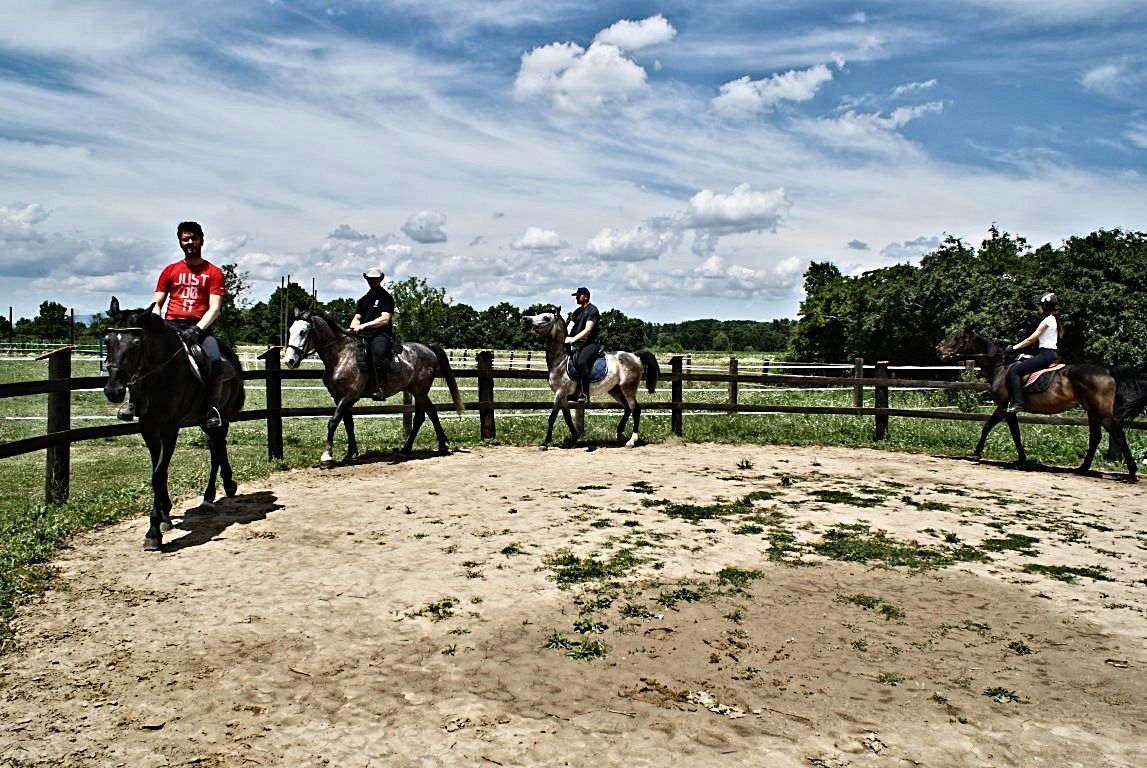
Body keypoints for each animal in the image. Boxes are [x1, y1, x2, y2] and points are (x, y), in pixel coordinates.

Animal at [102, 297, 246, 550]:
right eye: (108, 340)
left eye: (137, 342)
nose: (113, 391)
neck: (157, 375)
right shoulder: (148, 428)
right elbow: (158, 470)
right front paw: (164, 514)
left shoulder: (170, 427)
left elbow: (158, 474)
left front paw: (153, 531)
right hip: (204, 420)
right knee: (219, 447)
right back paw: (228, 485)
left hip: (222, 417)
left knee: (216, 451)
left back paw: (209, 497)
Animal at [282, 308, 464, 463]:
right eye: (290, 331)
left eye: (303, 332)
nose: (289, 361)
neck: (341, 355)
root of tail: (428, 348)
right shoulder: (338, 396)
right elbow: (348, 423)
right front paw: (350, 453)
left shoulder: (350, 395)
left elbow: (333, 421)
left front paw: (327, 455)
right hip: (416, 390)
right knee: (431, 412)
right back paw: (439, 445)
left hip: (420, 391)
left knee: (420, 417)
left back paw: (407, 450)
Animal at [520, 308, 660, 448]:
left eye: (546, 318)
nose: (524, 319)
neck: (561, 361)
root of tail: (634, 356)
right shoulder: (563, 396)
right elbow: (567, 417)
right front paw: (574, 438)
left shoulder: (560, 393)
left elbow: (552, 417)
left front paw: (545, 443)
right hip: (615, 390)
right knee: (627, 409)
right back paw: (619, 434)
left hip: (628, 389)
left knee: (635, 410)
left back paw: (631, 441)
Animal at [937, 327, 1147, 482]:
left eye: (957, 337)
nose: (939, 351)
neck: (1001, 367)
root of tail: (1108, 371)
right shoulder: (1004, 409)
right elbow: (995, 429)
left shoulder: (1005, 407)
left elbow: (1002, 430)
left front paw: (985, 454)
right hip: (1091, 411)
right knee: (1095, 437)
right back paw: (1082, 468)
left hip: (1101, 412)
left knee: (1118, 435)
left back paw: (1132, 473)